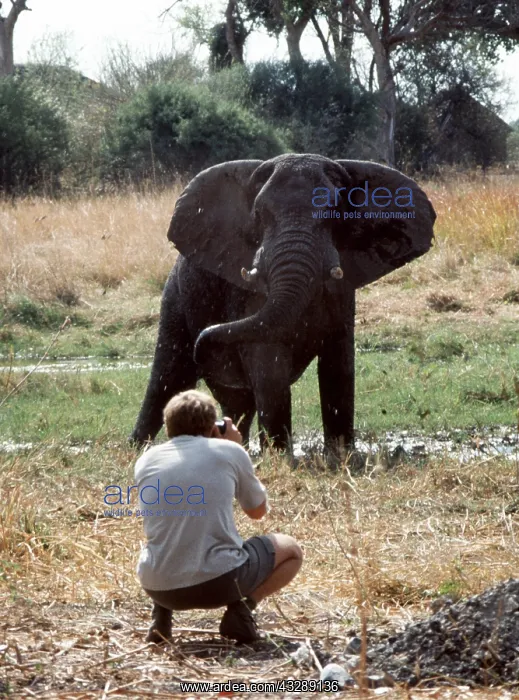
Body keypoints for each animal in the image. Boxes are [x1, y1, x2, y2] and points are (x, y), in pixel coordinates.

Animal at [131, 154, 435, 457]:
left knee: (235, 400)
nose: (203, 344)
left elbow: (338, 366)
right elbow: (269, 366)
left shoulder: (342, 291)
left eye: (334, 214)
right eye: (260, 215)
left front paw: (340, 458)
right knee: (167, 379)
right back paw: (136, 450)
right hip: (175, 297)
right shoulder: (248, 294)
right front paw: (281, 459)